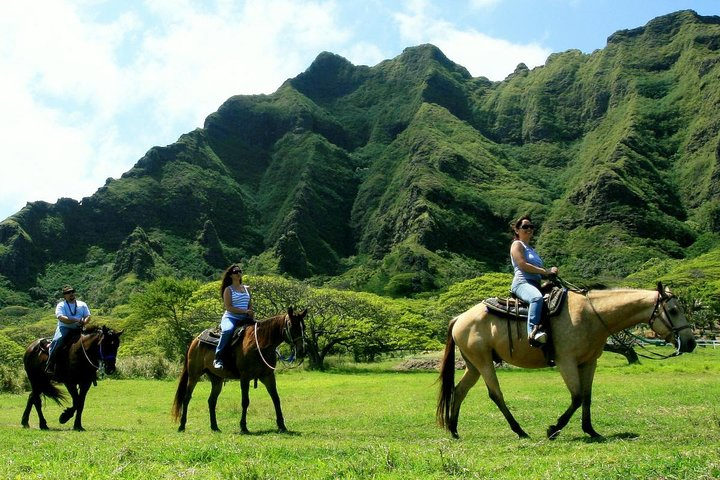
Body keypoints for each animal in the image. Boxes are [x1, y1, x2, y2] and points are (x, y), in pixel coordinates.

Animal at [175, 308, 310, 436]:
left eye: (304, 327)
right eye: (292, 326)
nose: (302, 350)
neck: (260, 343)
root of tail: (195, 340)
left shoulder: (268, 376)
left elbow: (276, 399)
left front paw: (282, 425)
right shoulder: (245, 377)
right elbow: (245, 401)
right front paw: (243, 427)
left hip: (216, 379)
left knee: (211, 401)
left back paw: (215, 427)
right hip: (194, 375)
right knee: (187, 398)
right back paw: (182, 426)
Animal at [436, 284, 696, 440]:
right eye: (673, 310)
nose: (691, 342)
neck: (592, 315)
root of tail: (460, 317)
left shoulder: (589, 363)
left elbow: (587, 397)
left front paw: (591, 430)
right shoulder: (566, 362)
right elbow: (577, 397)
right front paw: (554, 429)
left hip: (474, 365)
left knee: (459, 391)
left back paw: (454, 429)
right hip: (483, 363)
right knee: (495, 394)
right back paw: (520, 431)